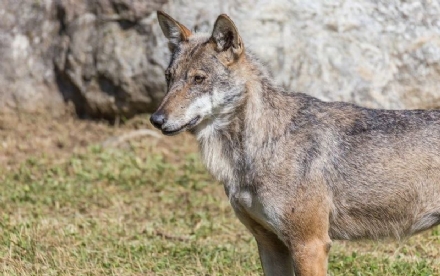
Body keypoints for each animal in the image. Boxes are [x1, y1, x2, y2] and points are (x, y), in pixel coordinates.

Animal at [150, 11, 440, 276]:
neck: (263, 147)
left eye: (198, 79)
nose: (156, 119)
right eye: (168, 77)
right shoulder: (268, 243)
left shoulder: (310, 244)